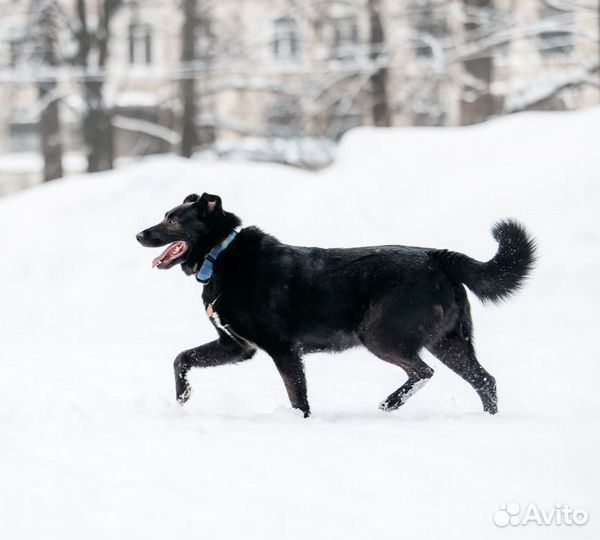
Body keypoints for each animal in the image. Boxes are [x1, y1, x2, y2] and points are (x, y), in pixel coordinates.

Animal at [138, 194, 536, 418]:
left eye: (173, 219)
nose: (139, 234)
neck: (222, 255)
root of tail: (438, 256)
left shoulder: (282, 350)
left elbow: (298, 396)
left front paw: (300, 423)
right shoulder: (236, 347)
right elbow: (181, 359)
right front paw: (182, 398)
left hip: (381, 336)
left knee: (424, 372)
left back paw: (390, 404)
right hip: (449, 342)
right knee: (485, 380)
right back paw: (485, 422)